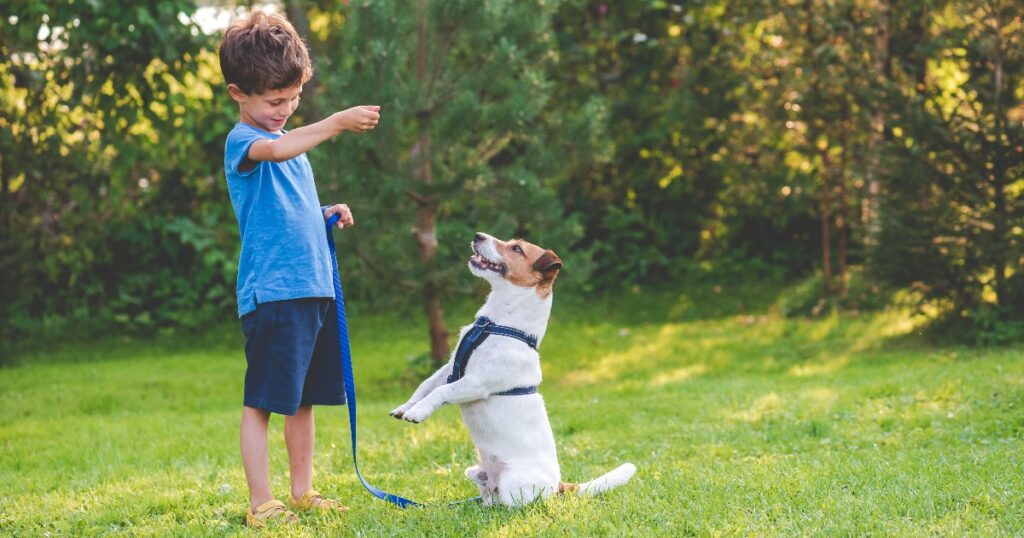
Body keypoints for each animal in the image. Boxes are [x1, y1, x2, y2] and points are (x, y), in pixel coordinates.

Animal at [387, 232, 634, 506]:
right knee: (485, 490)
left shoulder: (476, 383)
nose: (478, 235)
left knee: (510, 502)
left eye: (517, 248)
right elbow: (425, 386)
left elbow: (440, 392)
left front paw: (417, 413)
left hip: (512, 482)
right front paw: (405, 407)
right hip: (475, 470)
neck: (496, 323)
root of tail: (559, 485)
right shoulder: (450, 367)